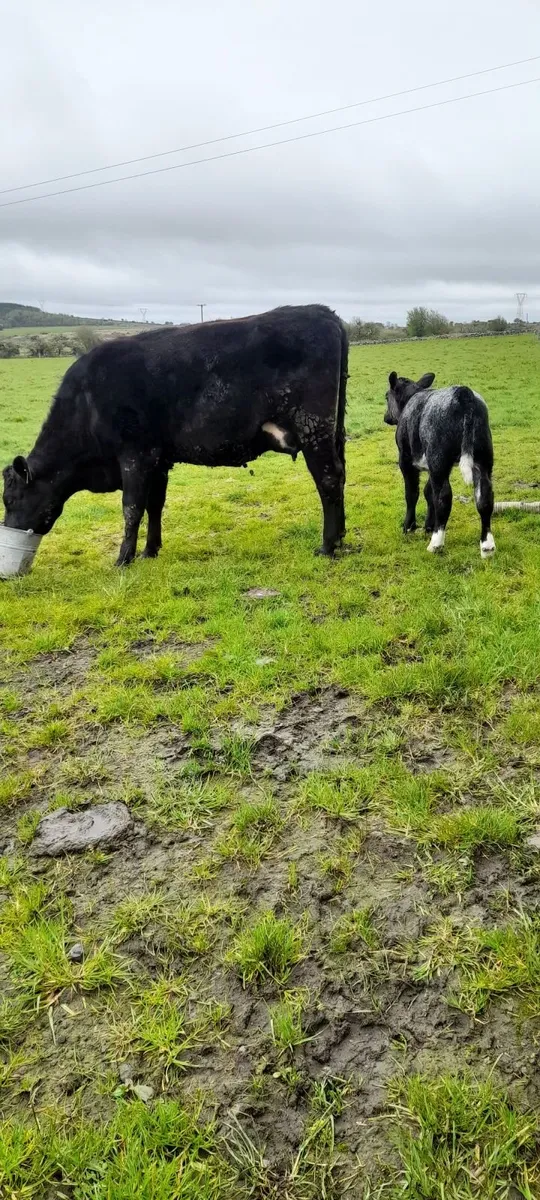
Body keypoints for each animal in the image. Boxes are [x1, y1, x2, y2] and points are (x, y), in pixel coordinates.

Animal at [3, 305, 348, 565]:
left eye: (10, 498)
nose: (10, 529)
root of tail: (321, 312)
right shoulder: (159, 460)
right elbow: (154, 505)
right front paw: (149, 551)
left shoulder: (135, 455)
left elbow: (131, 508)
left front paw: (123, 559)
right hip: (333, 431)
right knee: (340, 474)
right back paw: (342, 537)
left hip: (313, 427)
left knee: (328, 479)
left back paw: (327, 546)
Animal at [384, 371, 495, 558]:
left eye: (386, 396)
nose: (386, 417)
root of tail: (463, 393)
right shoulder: (433, 466)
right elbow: (428, 492)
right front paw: (429, 525)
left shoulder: (406, 461)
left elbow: (412, 493)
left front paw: (409, 527)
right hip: (482, 459)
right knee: (484, 498)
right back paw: (487, 546)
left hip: (438, 458)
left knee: (443, 497)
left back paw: (436, 543)